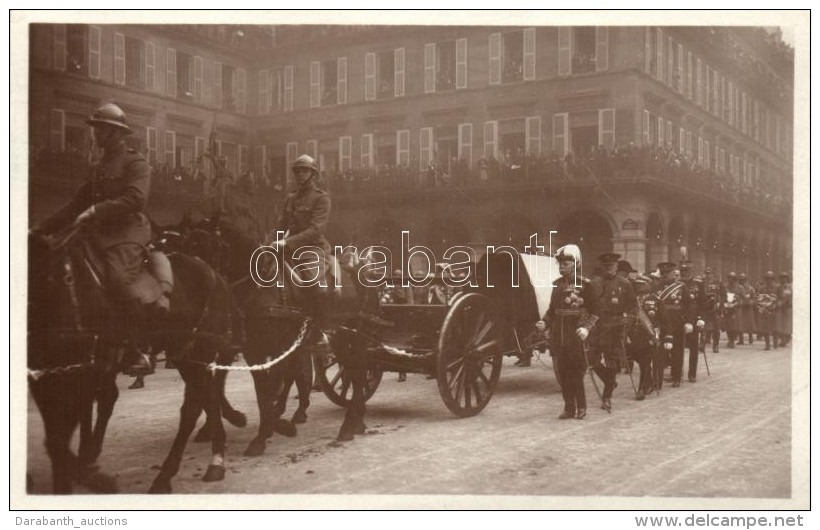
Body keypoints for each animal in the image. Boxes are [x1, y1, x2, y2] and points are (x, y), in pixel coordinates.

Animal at [26, 222, 243, 490]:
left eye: (220, 246)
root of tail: (214, 277)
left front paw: (88, 469)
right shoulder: (56, 376)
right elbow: (65, 432)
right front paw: (85, 463)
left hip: (196, 351)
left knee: (196, 403)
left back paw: (175, 472)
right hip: (186, 354)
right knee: (204, 396)